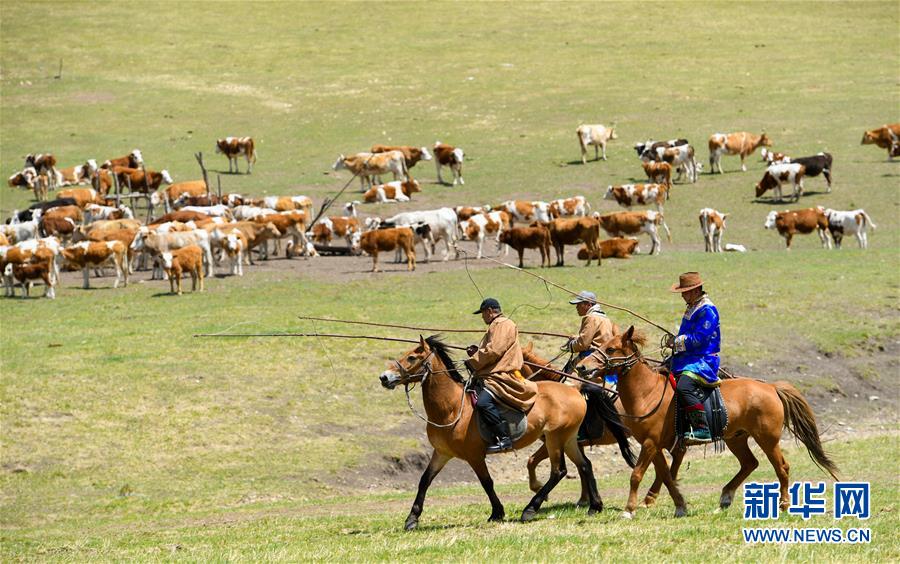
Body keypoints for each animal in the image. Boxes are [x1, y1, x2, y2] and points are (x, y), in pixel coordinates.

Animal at [376, 334, 600, 528]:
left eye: (411, 357)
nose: (384, 377)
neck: (452, 408)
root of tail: (574, 389)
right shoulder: (442, 453)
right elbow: (424, 480)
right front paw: (412, 518)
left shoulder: (474, 456)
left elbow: (487, 482)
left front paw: (497, 513)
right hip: (568, 439)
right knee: (585, 465)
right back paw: (595, 506)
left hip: (555, 438)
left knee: (558, 471)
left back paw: (530, 509)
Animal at [576, 328, 836, 516]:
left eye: (610, 349)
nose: (582, 367)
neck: (648, 392)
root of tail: (770, 387)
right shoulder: (655, 446)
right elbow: (667, 476)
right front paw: (679, 506)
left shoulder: (650, 444)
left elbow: (637, 475)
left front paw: (629, 509)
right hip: (736, 439)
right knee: (749, 463)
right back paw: (726, 497)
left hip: (767, 439)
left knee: (782, 467)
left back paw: (782, 504)